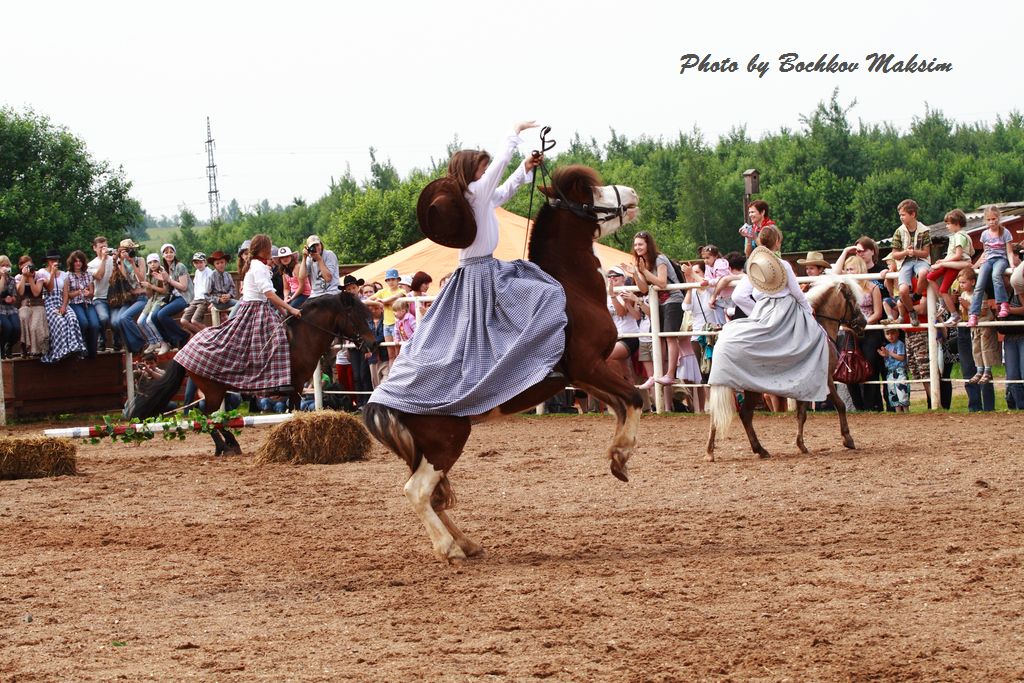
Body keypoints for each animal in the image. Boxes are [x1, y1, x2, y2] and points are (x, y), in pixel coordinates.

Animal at [121, 292, 374, 454]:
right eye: (357, 317)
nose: (371, 343)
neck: (303, 335)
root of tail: (183, 349)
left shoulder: (295, 387)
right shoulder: (296, 385)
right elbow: (293, 412)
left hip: (217, 391)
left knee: (213, 418)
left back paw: (230, 444)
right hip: (213, 391)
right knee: (206, 417)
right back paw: (225, 446)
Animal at [364, 166, 643, 565]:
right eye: (590, 193)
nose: (632, 193)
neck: (570, 289)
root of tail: (379, 402)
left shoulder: (582, 376)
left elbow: (621, 405)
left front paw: (618, 458)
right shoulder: (590, 366)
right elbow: (634, 398)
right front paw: (621, 454)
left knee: (434, 497)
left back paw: (467, 543)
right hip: (446, 444)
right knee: (417, 492)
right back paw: (449, 548)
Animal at [704, 274, 864, 462]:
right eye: (853, 299)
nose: (863, 322)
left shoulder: (806, 386)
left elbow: (802, 414)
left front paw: (801, 445)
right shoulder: (826, 380)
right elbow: (840, 405)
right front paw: (848, 439)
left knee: (722, 416)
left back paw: (713, 452)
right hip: (749, 389)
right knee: (744, 414)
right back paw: (758, 449)